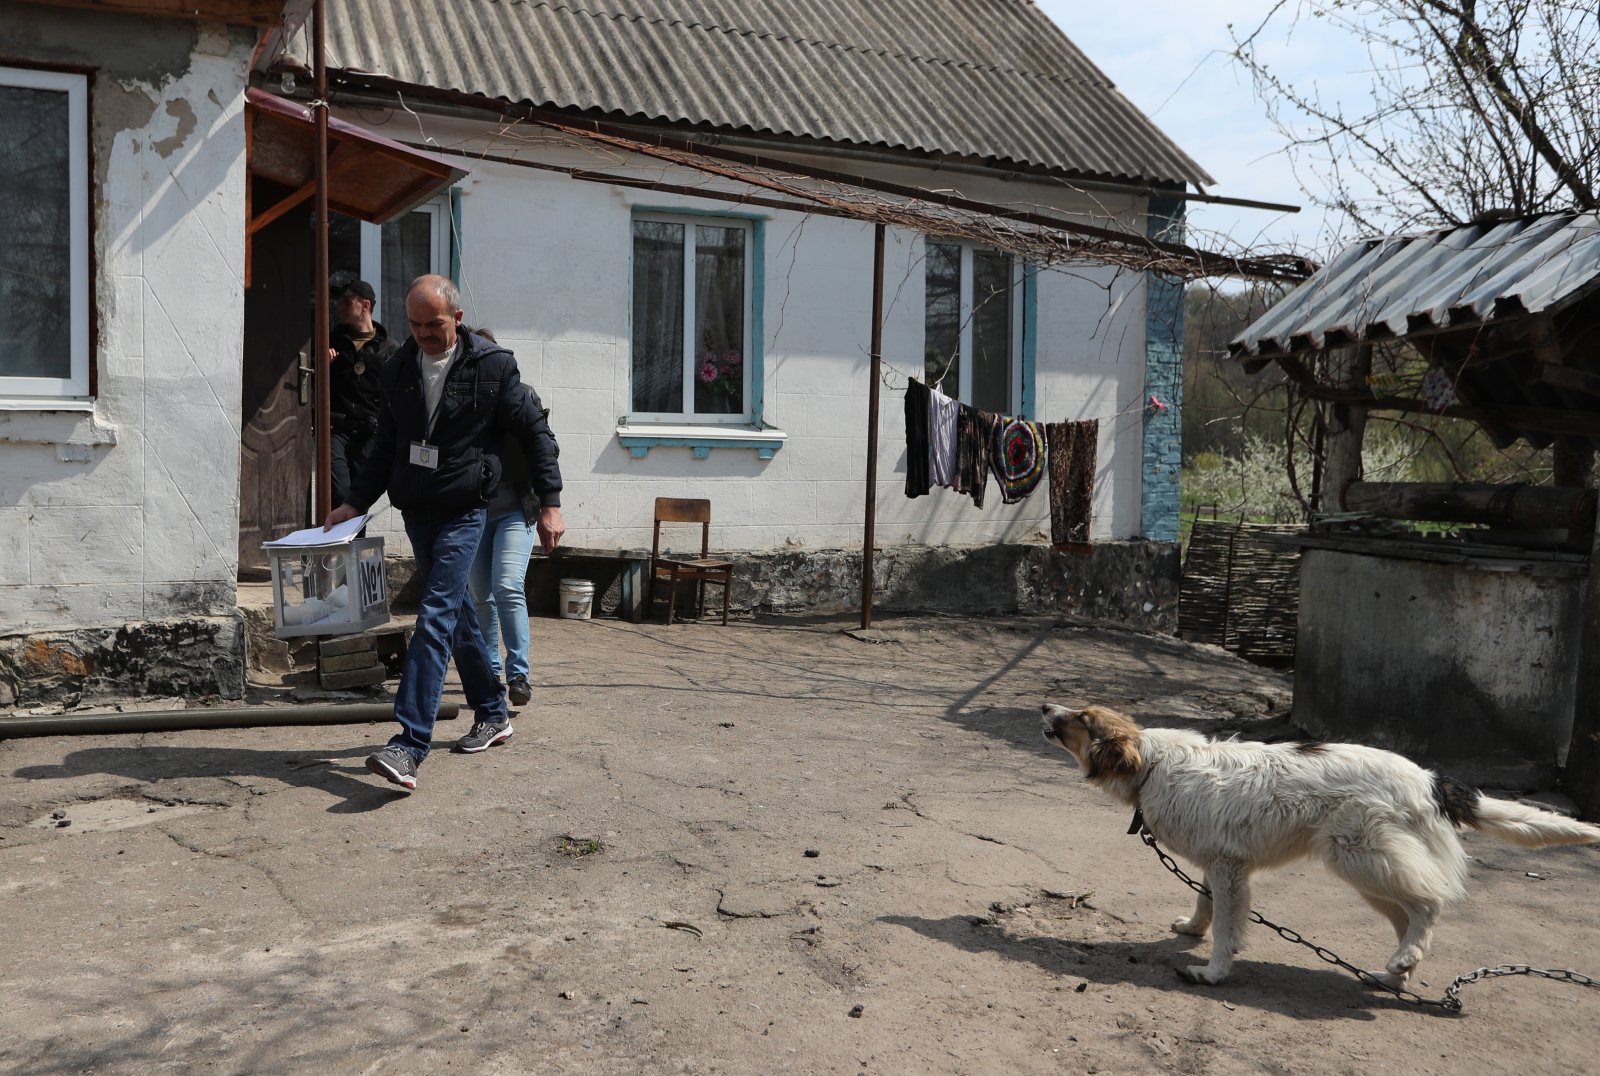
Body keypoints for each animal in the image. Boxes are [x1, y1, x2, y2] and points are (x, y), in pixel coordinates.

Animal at [1043, 701, 1593, 986]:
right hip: (1372, 874)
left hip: (1361, 858)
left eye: (1083, 718)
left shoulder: (1228, 867)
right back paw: (1396, 971)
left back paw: (1405, 960)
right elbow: (1204, 903)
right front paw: (1192, 930)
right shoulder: (1218, 862)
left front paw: (1214, 971)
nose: (1047, 705)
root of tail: (1429, 778)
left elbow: (1227, 927)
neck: (1153, 765)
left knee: (1431, 904)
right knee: (1410, 918)